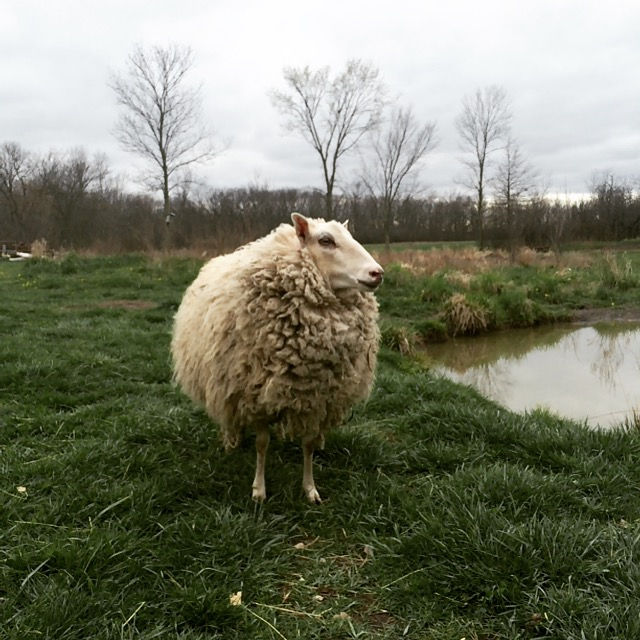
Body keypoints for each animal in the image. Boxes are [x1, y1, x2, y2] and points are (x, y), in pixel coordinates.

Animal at [171, 212, 383, 503]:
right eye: (326, 240)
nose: (377, 273)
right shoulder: (256, 395)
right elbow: (262, 444)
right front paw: (259, 490)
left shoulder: (316, 398)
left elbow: (308, 445)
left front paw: (310, 489)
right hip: (223, 382)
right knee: (227, 414)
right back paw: (230, 441)